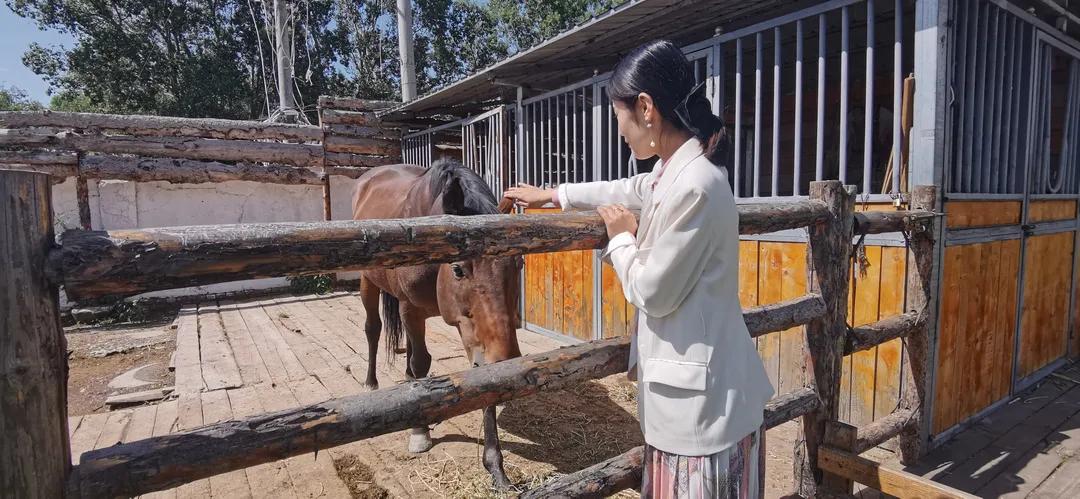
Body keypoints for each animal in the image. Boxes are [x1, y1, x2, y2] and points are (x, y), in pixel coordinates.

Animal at [354, 158, 522, 488]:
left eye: (519, 263)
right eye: (458, 270)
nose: (507, 360)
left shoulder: (475, 335)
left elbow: (482, 378)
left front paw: (495, 467)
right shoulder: (411, 309)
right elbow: (420, 363)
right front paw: (419, 432)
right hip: (368, 281)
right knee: (373, 330)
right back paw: (370, 383)